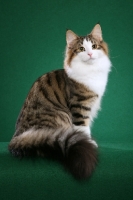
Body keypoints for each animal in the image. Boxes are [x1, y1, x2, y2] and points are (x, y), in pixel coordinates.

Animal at [8, 23, 111, 180]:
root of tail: (16, 139)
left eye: (94, 46)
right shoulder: (80, 106)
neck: (91, 71)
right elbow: (83, 128)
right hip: (60, 117)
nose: (90, 54)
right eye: (82, 49)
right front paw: (88, 142)